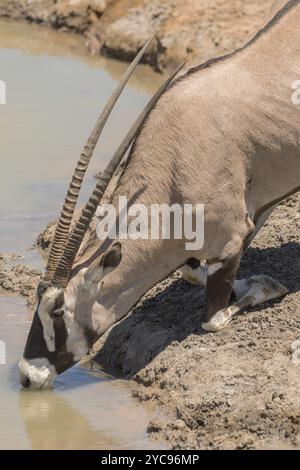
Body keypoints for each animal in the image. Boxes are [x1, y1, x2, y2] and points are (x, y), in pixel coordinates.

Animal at [19, 0, 298, 390]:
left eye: (58, 311)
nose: (28, 375)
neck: (175, 169)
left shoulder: (231, 238)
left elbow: (212, 320)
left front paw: (269, 286)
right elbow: (191, 273)